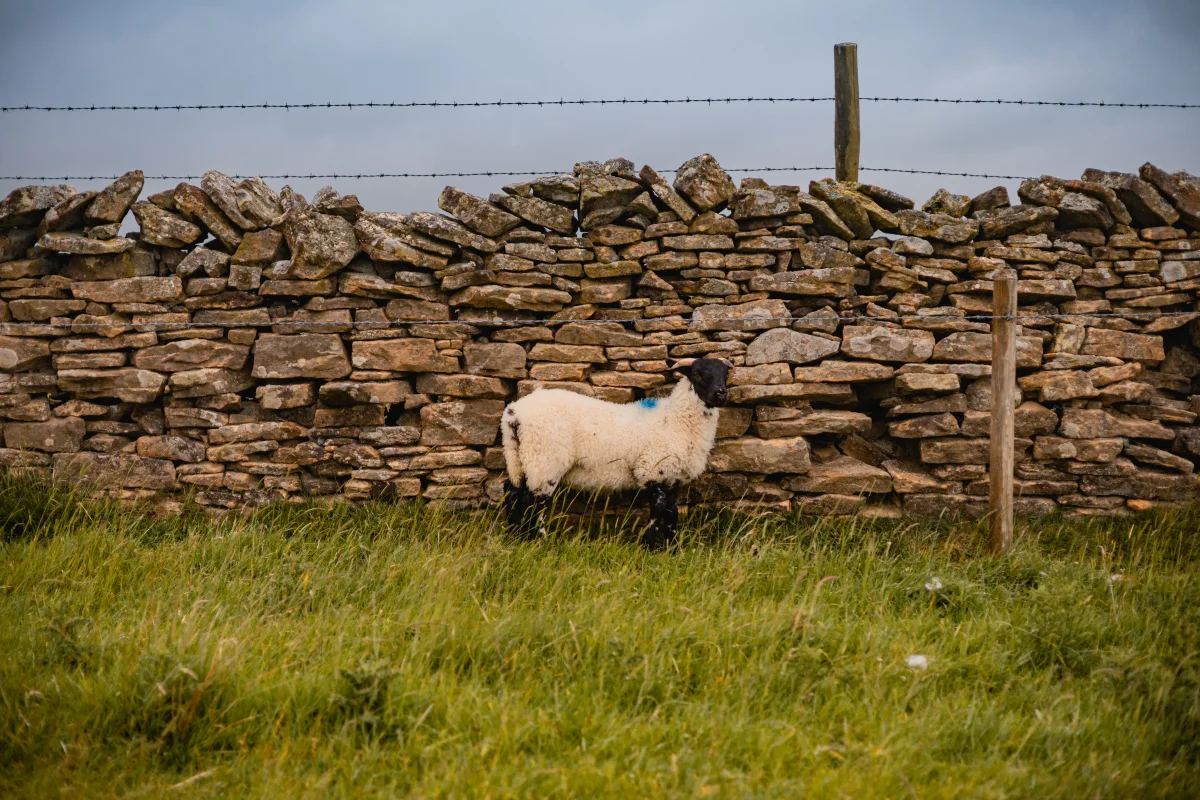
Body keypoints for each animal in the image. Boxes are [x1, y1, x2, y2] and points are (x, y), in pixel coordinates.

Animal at [499, 357, 730, 549]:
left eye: (725, 374)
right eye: (697, 374)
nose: (721, 393)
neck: (676, 419)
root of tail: (514, 413)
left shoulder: (672, 477)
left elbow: (671, 513)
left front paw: (670, 548)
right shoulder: (652, 470)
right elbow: (659, 511)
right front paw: (648, 546)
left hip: (521, 458)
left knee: (513, 492)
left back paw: (516, 536)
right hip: (545, 461)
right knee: (533, 503)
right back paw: (539, 540)